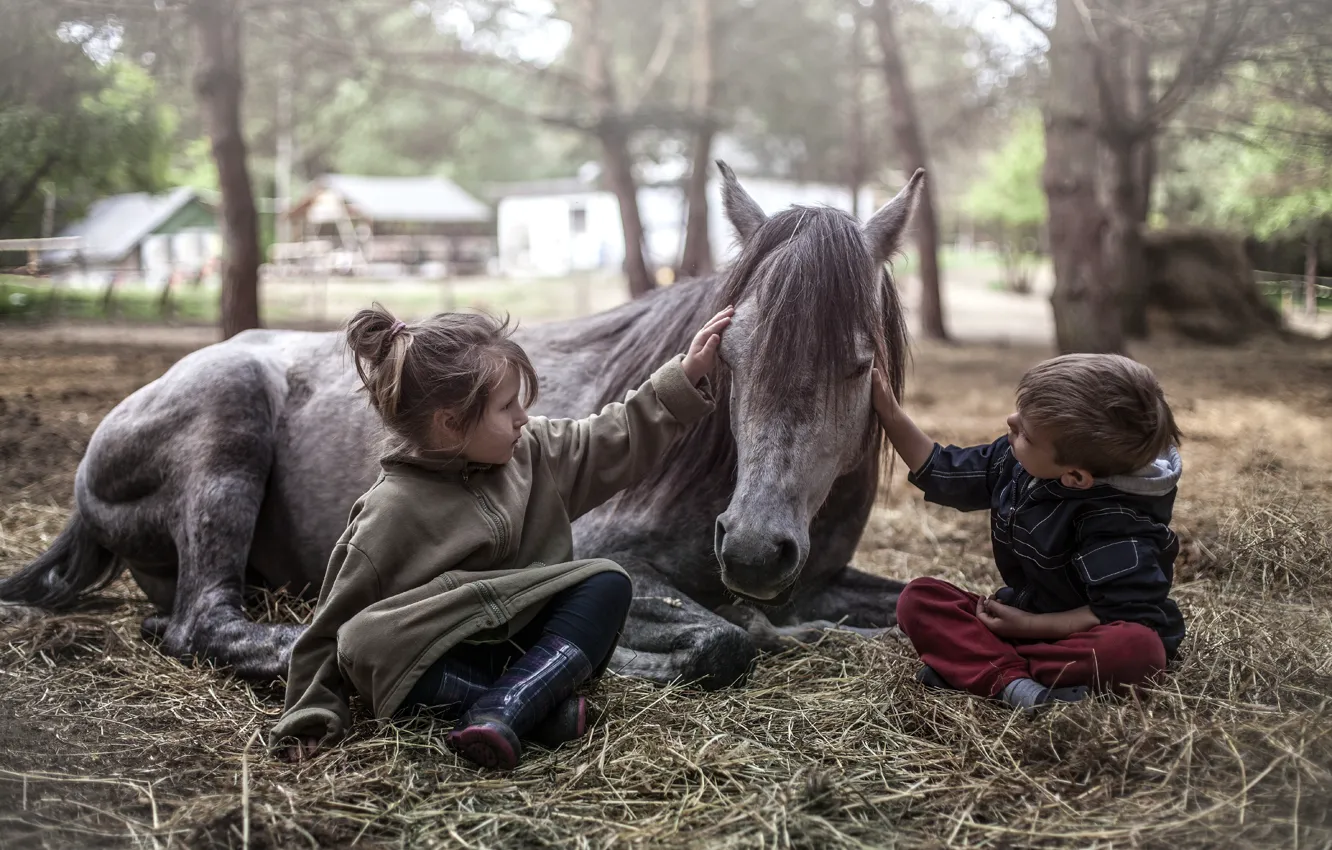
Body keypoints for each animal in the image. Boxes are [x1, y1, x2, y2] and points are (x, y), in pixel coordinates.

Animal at [0, 166, 921, 692]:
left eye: (858, 363)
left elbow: (908, 599)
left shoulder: (820, 577)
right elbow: (723, 641)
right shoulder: (614, 559)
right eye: (729, 351)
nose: (755, 549)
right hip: (228, 426)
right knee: (205, 624)